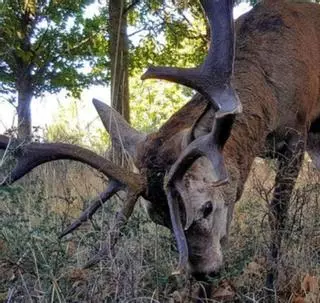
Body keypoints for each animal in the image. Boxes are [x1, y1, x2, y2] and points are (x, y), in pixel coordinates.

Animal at [0, 0, 320, 296]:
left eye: (206, 207)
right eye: (158, 219)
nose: (204, 274)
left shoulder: (297, 132)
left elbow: (278, 213)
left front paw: (270, 285)